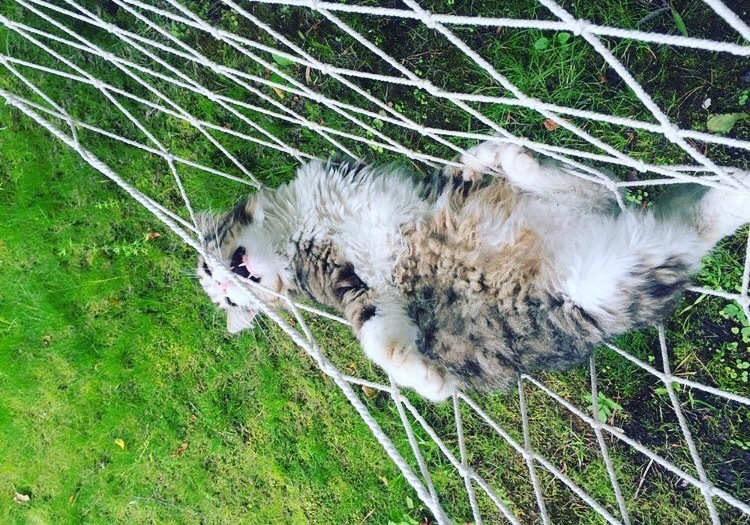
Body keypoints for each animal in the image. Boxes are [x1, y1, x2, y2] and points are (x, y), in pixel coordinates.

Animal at [195, 139, 750, 402]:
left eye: (210, 268)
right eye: (225, 300)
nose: (223, 283)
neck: (304, 222)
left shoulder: (413, 192)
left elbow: (460, 168)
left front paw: (484, 156)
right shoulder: (359, 289)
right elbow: (378, 339)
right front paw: (429, 382)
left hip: (595, 251)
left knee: (594, 187)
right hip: (605, 279)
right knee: (680, 234)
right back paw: (732, 194)